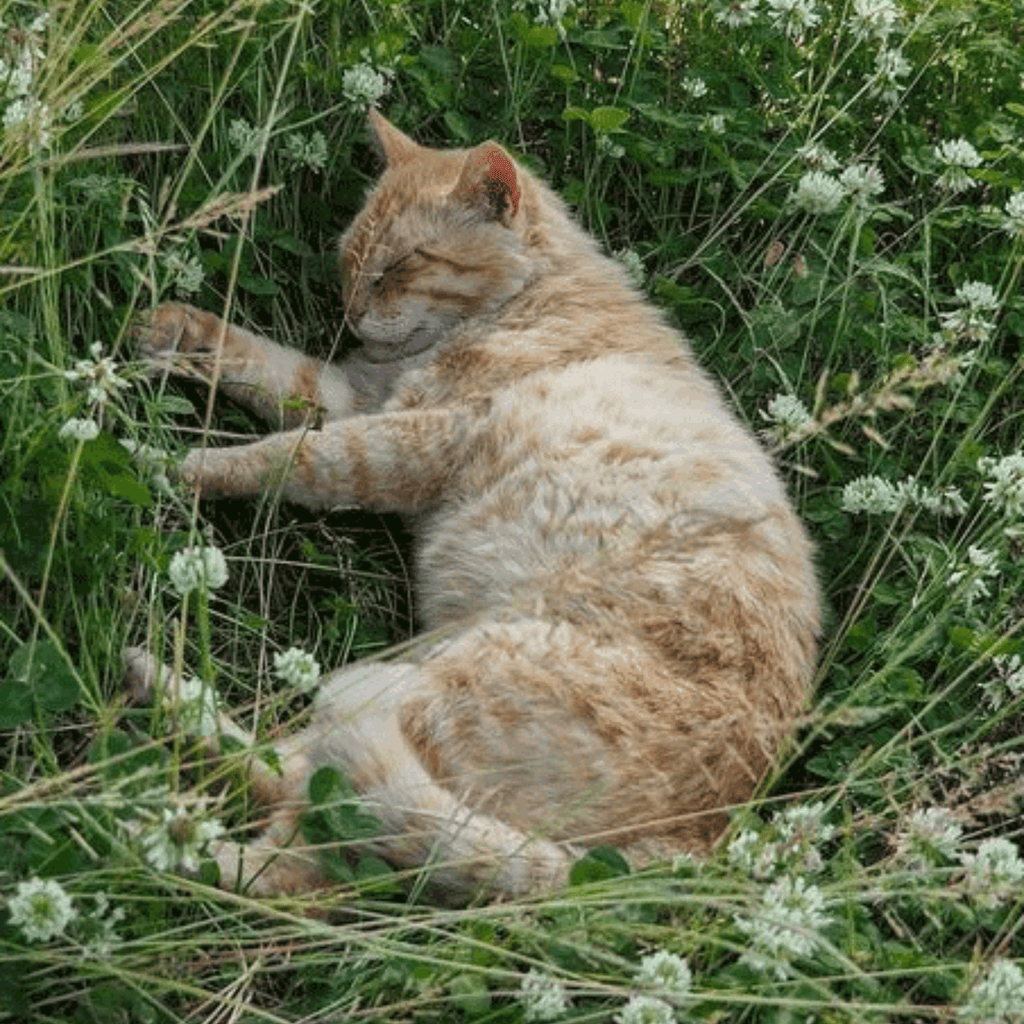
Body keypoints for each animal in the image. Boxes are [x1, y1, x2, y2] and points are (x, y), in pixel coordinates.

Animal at [123, 108, 819, 901]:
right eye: (350, 261)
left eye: (399, 265)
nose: (353, 313)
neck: (529, 295)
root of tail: (697, 842)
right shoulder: (354, 397)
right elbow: (263, 366)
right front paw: (176, 333)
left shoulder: (409, 440)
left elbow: (287, 458)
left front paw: (171, 462)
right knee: (300, 842)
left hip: (432, 690)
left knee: (302, 831)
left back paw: (151, 817)